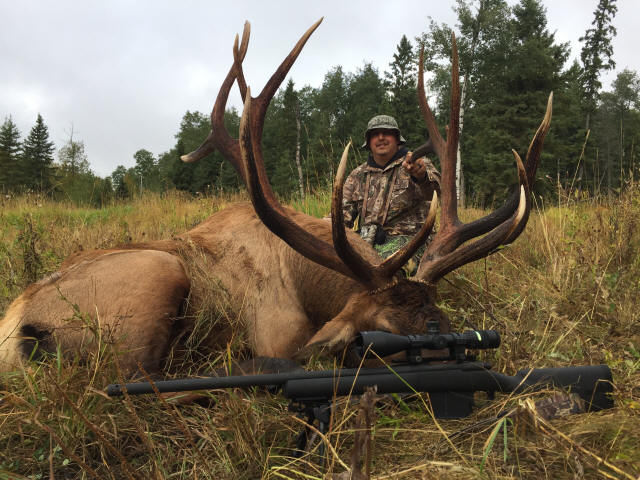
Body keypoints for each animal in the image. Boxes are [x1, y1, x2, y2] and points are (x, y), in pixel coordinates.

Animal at [0, 19, 551, 375]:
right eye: (386, 337)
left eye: (444, 320)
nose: (455, 361)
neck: (308, 283)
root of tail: (16, 327)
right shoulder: (275, 331)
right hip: (154, 281)